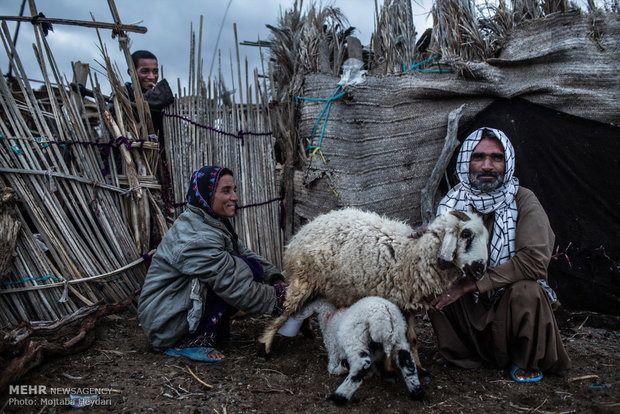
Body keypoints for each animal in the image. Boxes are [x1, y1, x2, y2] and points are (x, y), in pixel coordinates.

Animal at [258, 209, 490, 370]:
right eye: (466, 234)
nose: (481, 269)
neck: (414, 255)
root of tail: (302, 232)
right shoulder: (392, 304)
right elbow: (391, 339)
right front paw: (389, 368)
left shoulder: (406, 304)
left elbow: (412, 339)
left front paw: (420, 367)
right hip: (303, 278)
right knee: (284, 309)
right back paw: (265, 346)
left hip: (318, 284)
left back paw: (306, 331)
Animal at [294, 296, 424, 406]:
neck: (329, 318)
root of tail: (387, 314)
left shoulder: (333, 349)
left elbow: (332, 367)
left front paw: (339, 368)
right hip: (399, 337)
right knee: (407, 360)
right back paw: (416, 392)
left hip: (355, 339)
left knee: (361, 365)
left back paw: (338, 397)